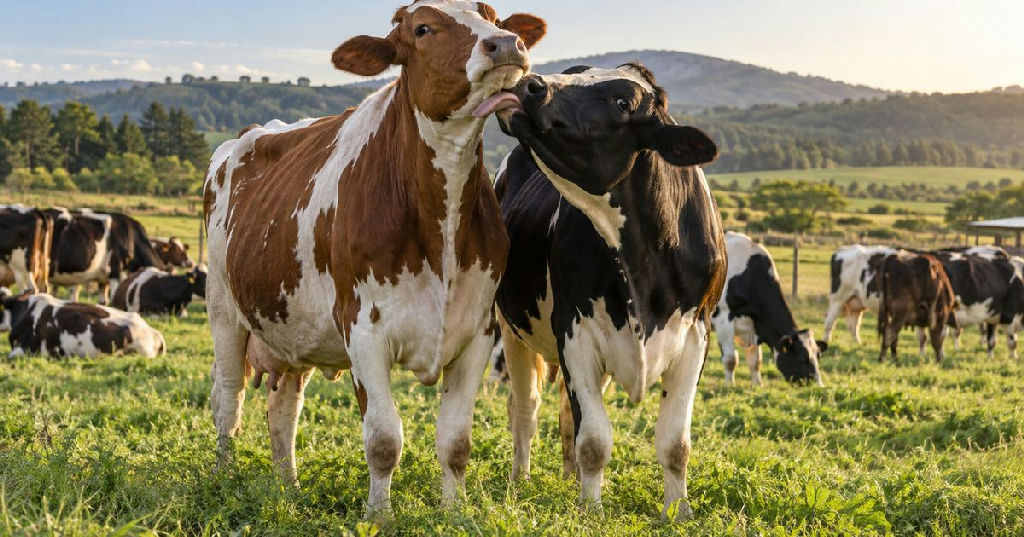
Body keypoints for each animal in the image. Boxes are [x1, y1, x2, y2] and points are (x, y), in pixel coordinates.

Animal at [202, 1, 546, 515]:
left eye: (494, 16)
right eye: (422, 28)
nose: (505, 44)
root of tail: (252, 133)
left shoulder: (478, 331)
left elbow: (456, 442)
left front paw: (454, 513)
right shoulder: (362, 329)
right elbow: (383, 439)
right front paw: (378, 516)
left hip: (292, 324)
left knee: (283, 410)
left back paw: (288, 488)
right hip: (224, 309)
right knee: (228, 400)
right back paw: (222, 478)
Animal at [492, 64, 724, 520]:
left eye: (622, 102)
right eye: (572, 73)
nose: (530, 83)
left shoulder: (696, 334)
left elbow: (675, 442)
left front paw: (678, 511)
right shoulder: (575, 330)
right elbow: (595, 438)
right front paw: (591, 509)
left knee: (566, 414)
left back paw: (569, 479)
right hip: (512, 330)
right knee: (526, 410)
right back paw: (519, 480)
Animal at [712, 232, 826, 386]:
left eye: (818, 355)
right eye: (802, 358)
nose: (819, 386)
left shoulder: (755, 325)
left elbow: (755, 361)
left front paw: (757, 385)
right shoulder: (723, 320)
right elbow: (731, 359)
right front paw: (729, 386)